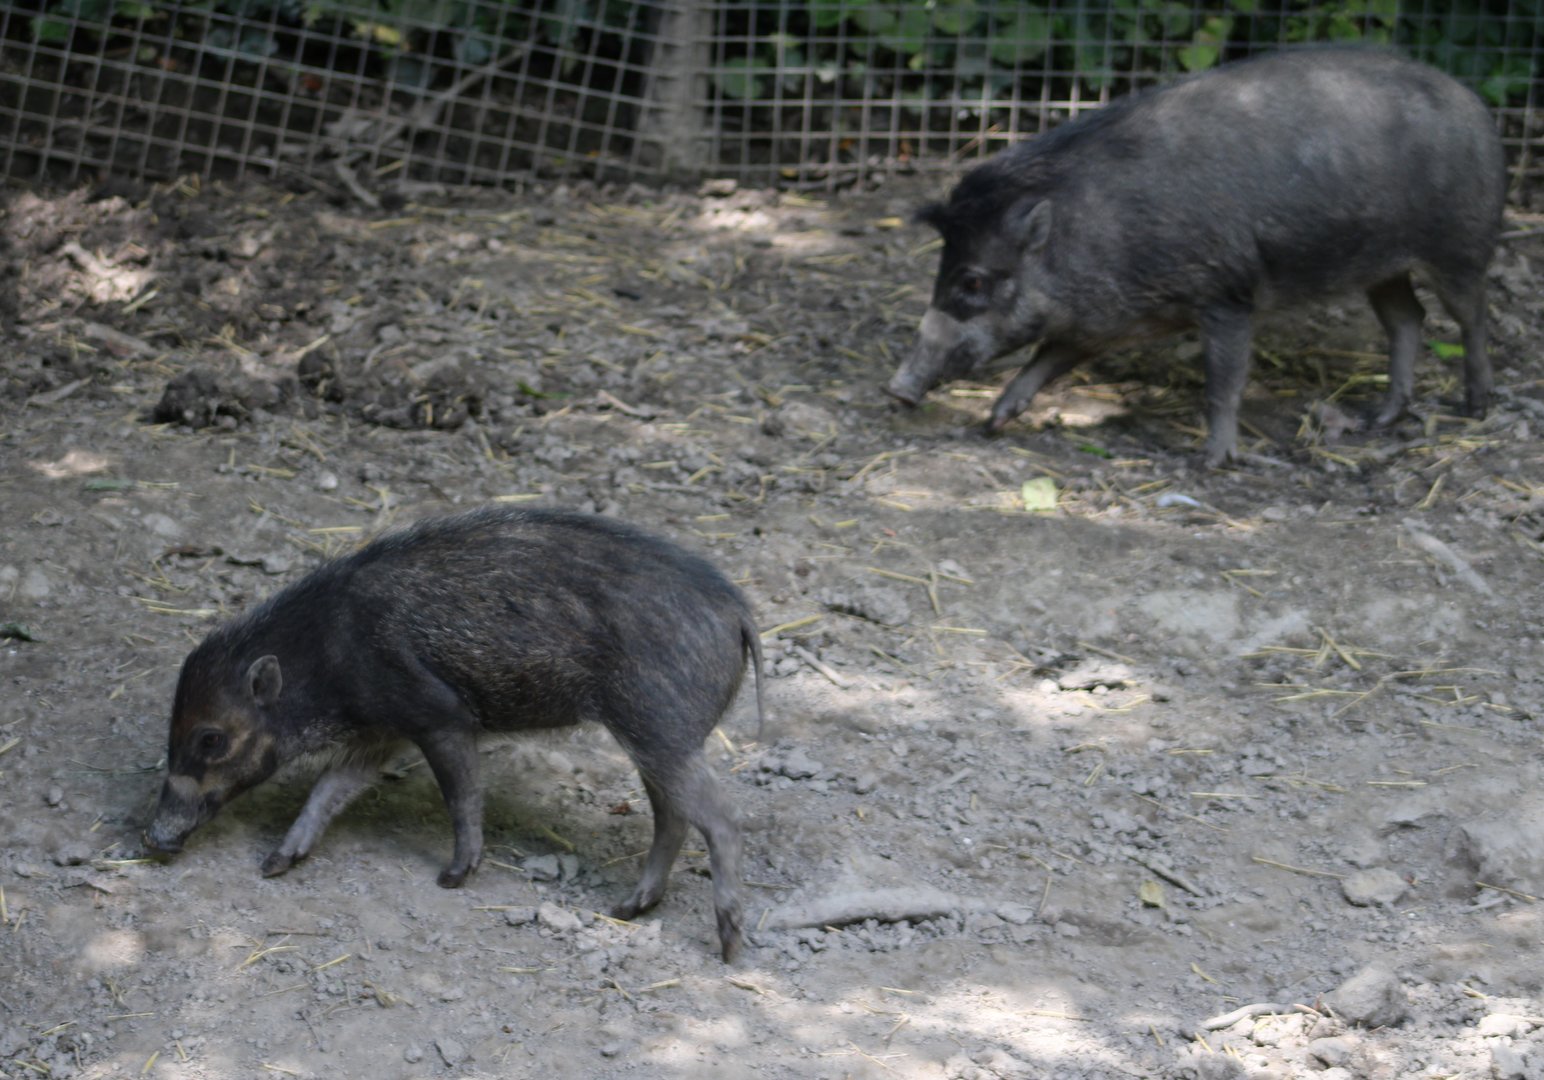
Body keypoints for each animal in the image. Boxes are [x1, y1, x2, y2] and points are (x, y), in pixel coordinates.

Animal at [144, 506, 763, 961]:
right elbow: (329, 789)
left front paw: (453, 878)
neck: (328, 656)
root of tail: (739, 615)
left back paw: (729, 945)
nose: (153, 841)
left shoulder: (440, 715)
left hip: (658, 727)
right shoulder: (383, 732)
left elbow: (460, 796)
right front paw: (276, 863)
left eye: (211, 739)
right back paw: (626, 909)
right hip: (653, 737)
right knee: (673, 817)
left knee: (723, 819)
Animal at [885, 48, 1506, 465]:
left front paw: (1212, 461)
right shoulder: (1104, 319)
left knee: (1473, 316)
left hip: (1460, 245)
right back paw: (1379, 418)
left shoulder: (1226, 295)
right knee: (1408, 318)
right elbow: (1047, 357)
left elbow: (1223, 382)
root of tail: (1475, 103)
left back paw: (1476, 406)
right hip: (1382, 266)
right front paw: (993, 423)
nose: (896, 389)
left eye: (972, 282)